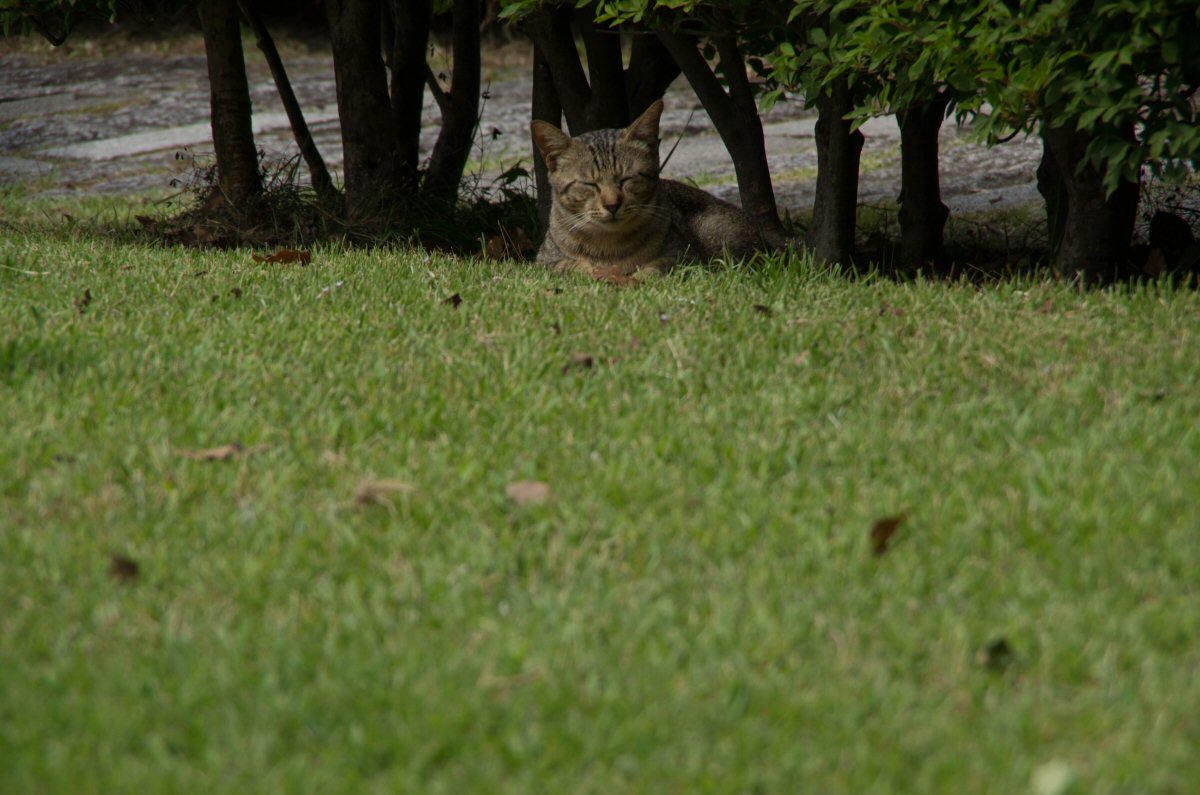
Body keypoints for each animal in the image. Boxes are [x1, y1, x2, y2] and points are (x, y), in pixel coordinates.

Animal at [530, 102, 782, 279]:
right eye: (590, 184)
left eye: (626, 179)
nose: (612, 205)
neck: (610, 249)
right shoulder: (543, 264)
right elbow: (570, 265)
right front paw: (593, 271)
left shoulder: (687, 257)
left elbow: (661, 265)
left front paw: (639, 276)